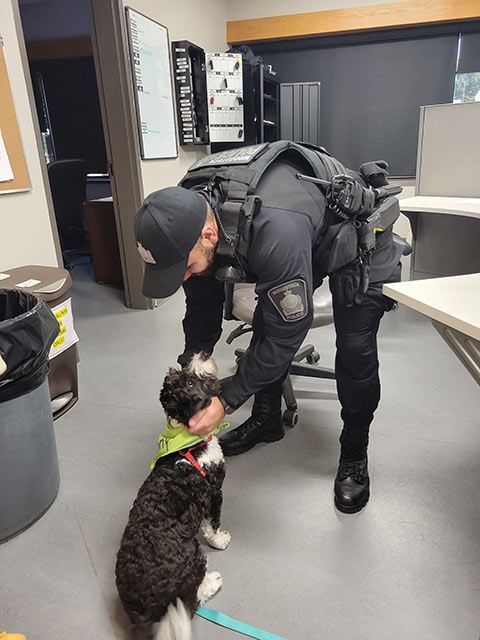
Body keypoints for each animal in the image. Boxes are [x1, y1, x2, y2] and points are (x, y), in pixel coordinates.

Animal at [115, 356, 230, 640]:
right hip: (194, 558)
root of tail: (146, 611)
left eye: (183, 377)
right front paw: (220, 540)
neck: (187, 443)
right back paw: (212, 582)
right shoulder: (214, 491)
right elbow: (213, 524)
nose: (200, 355)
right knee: (192, 602)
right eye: (190, 382)